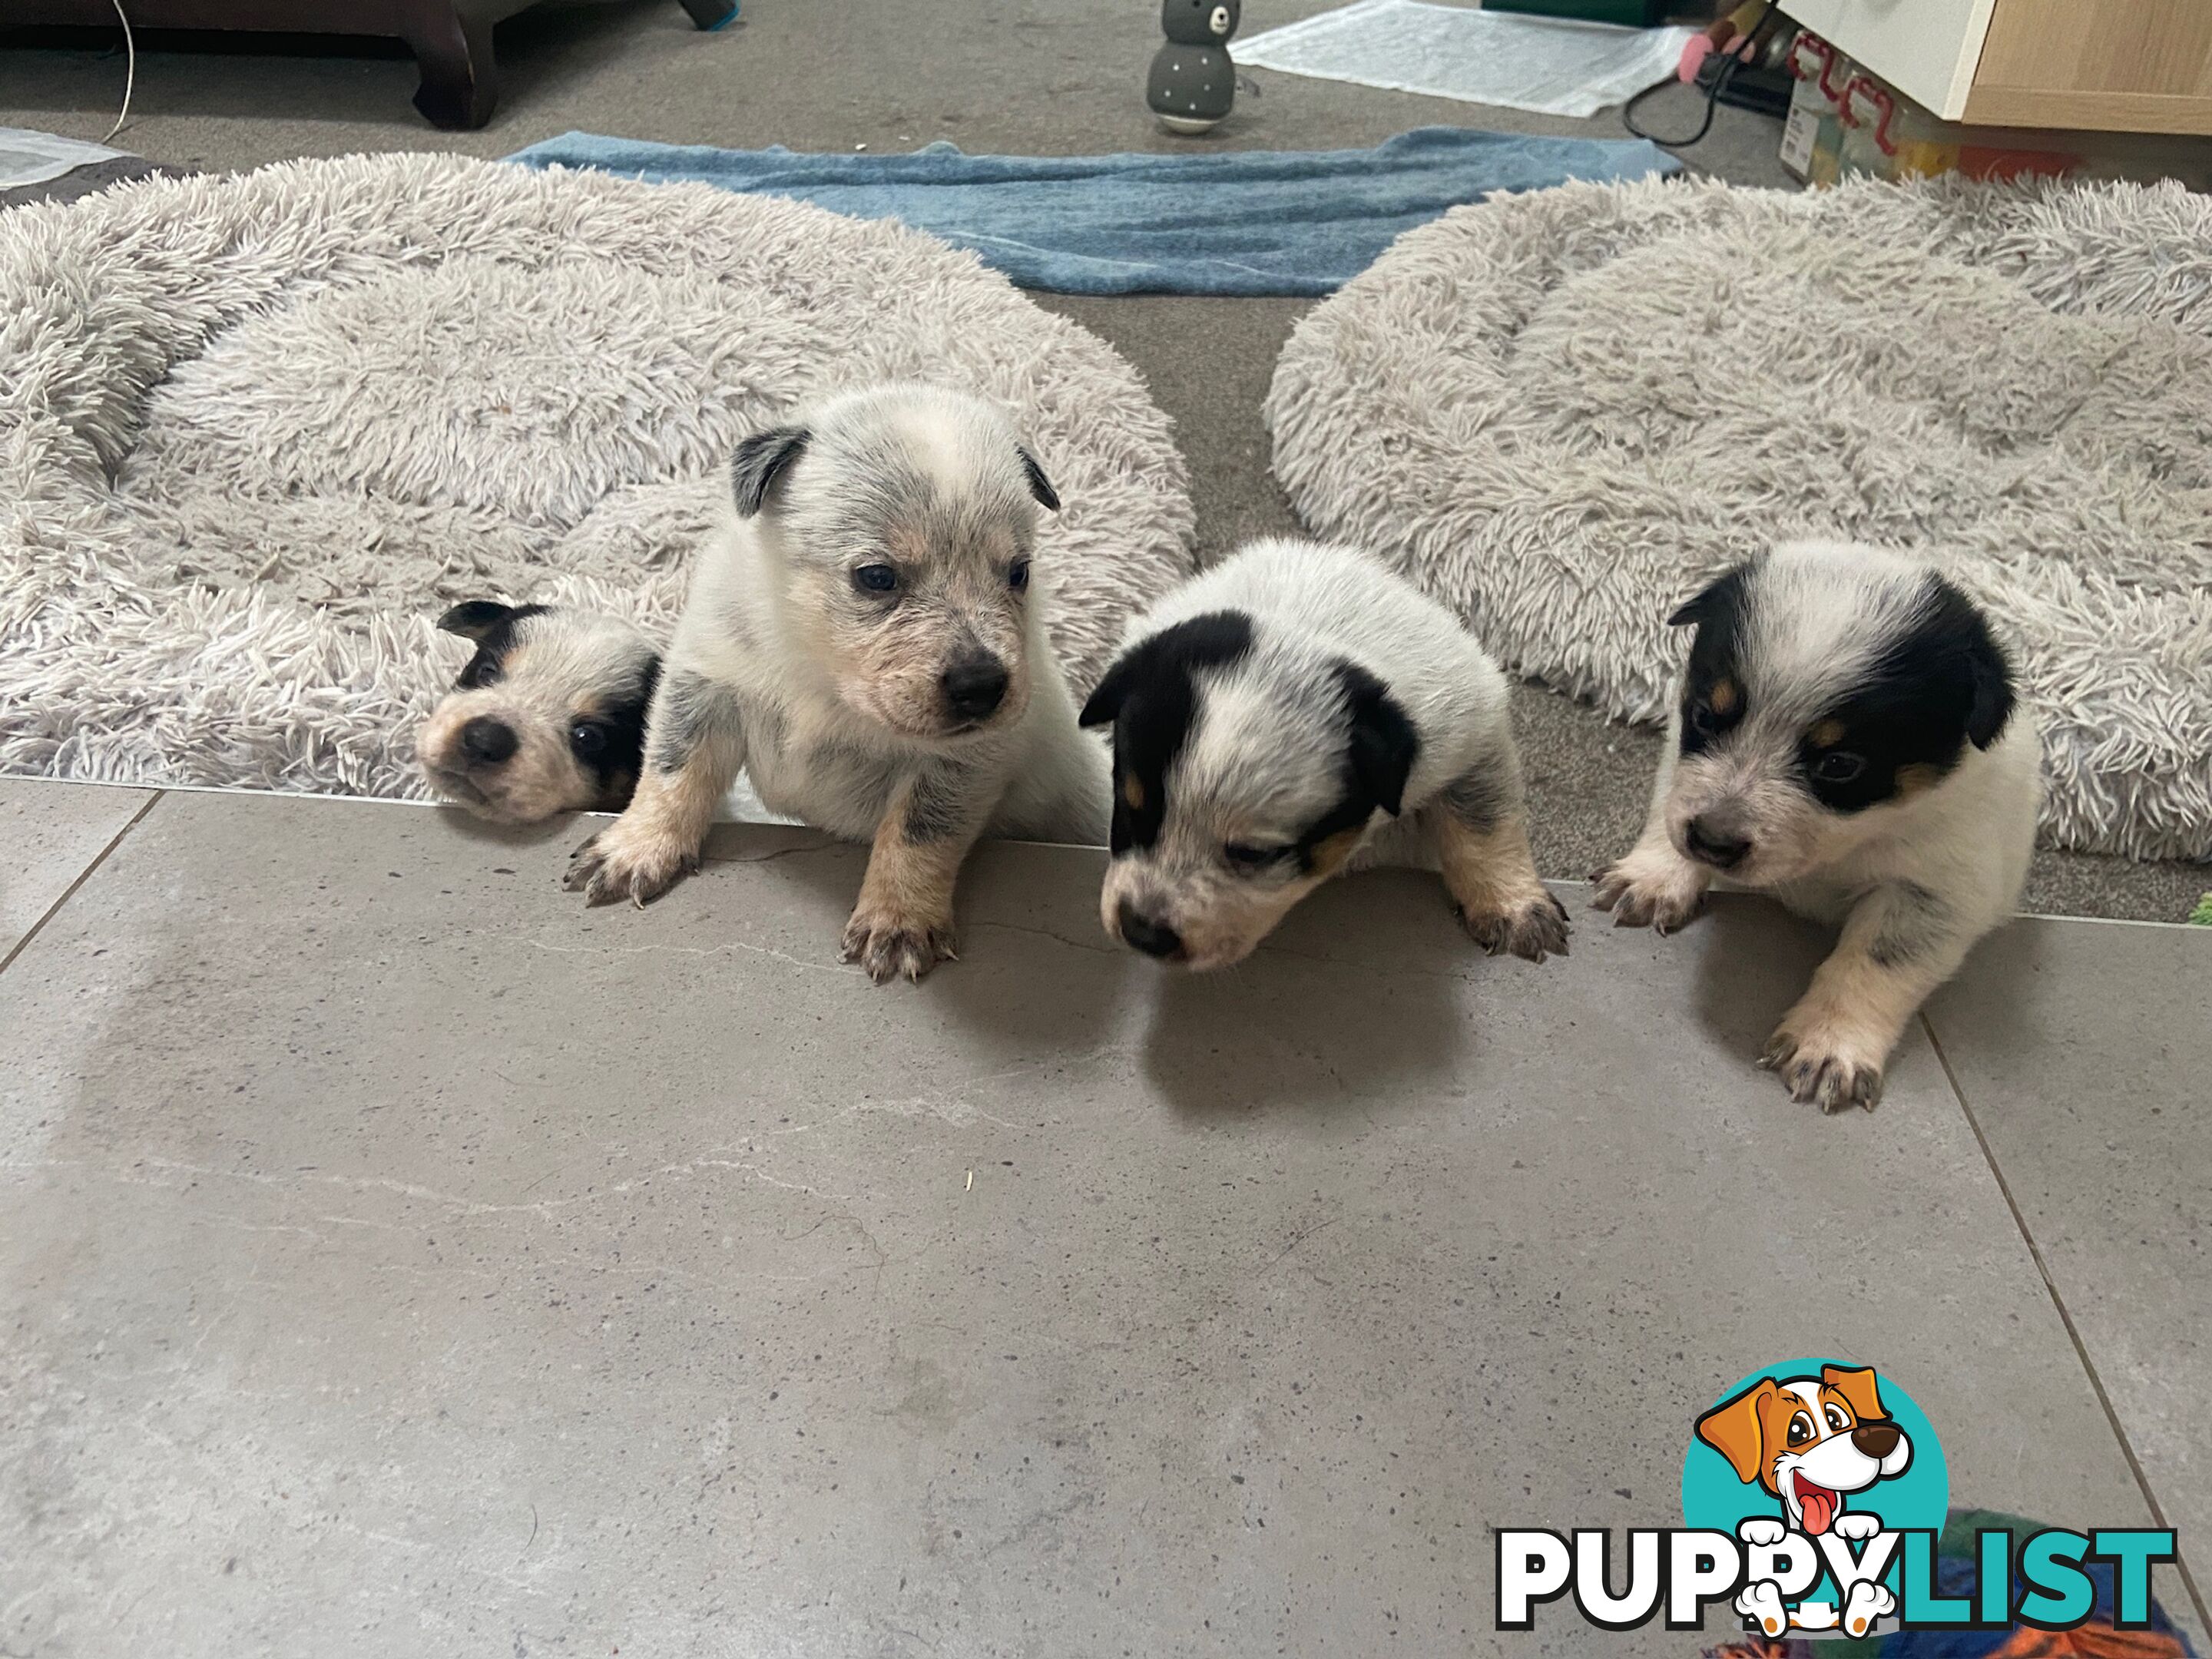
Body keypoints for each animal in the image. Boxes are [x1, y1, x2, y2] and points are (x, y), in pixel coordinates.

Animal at [1075, 533, 1566, 973]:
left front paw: (1513, 908)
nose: (1141, 932)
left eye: (1255, 854)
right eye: (1129, 808)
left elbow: (1482, 821)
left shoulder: (1470, 728)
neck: (1298, 636)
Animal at [1592, 541, 2035, 1119]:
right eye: (1706, 716)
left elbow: (1874, 961)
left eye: (1840, 765)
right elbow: (1672, 801)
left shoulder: (1936, 892)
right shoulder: (1681, 759)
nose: (1712, 842)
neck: (1850, 839)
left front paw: (1828, 1044)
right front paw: (1656, 877)